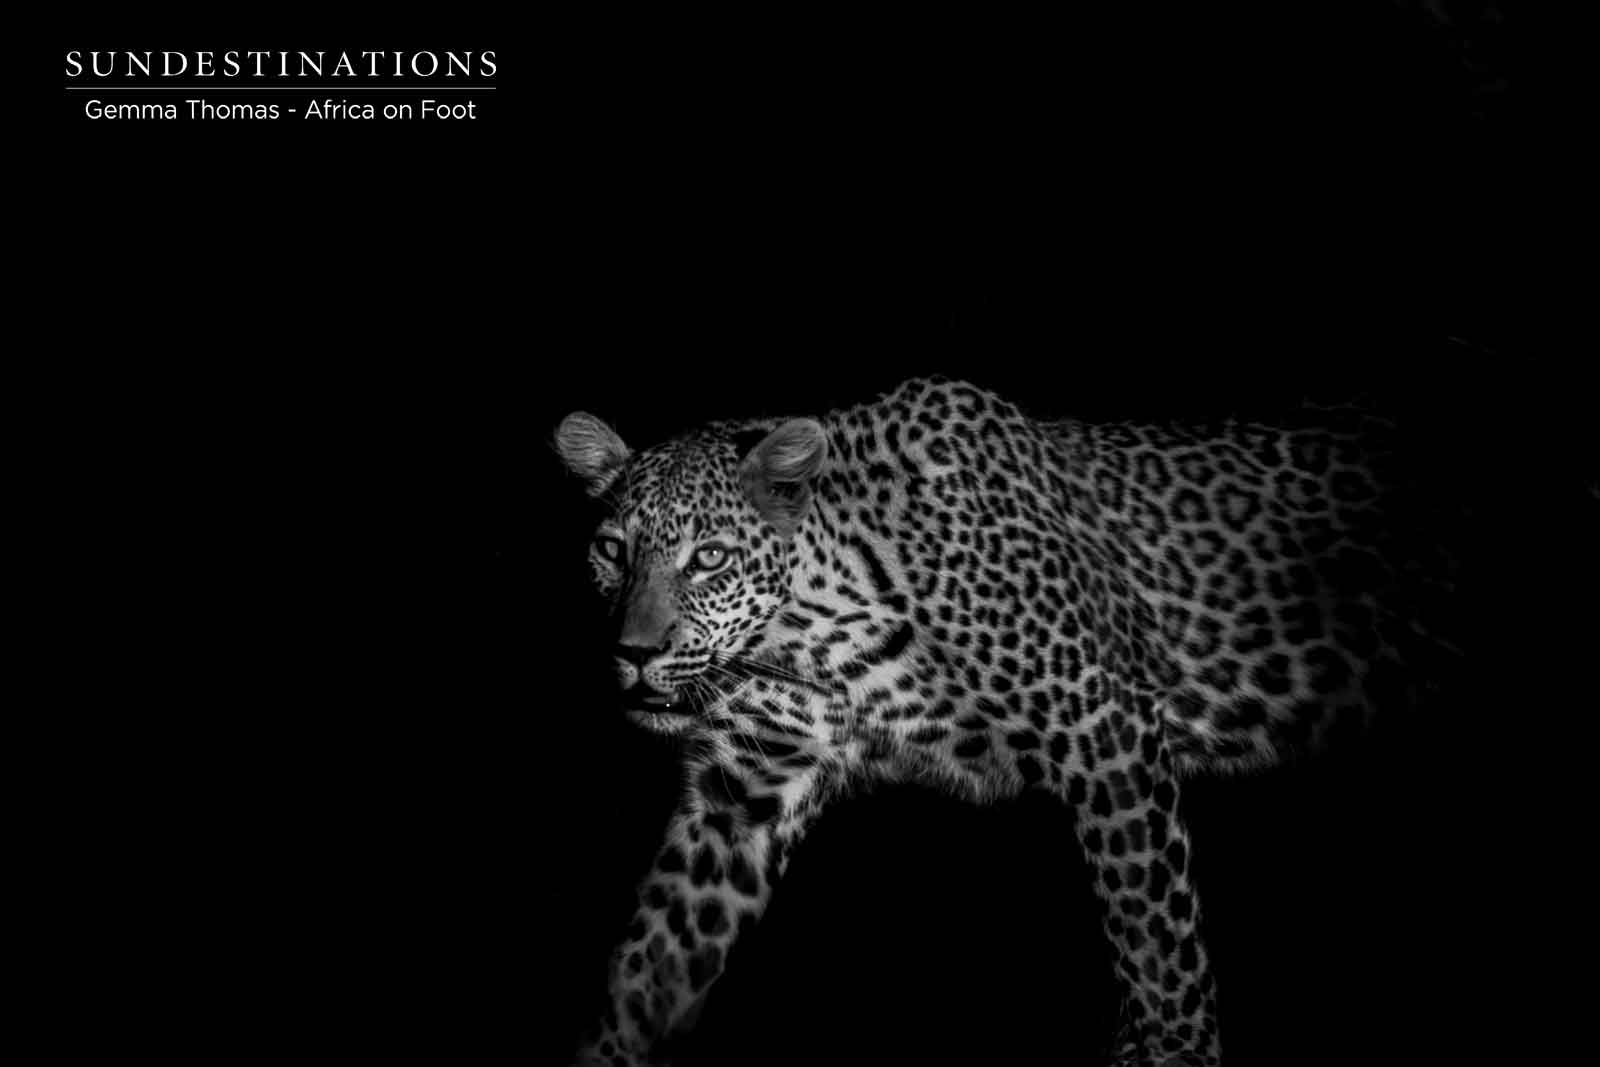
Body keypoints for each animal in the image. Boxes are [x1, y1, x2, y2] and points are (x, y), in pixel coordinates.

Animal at [555, 376, 1458, 1067]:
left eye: (708, 557)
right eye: (611, 550)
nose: (635, 652)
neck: (813, 634)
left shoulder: (1106, 729)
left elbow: (1156, 939)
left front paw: (1175, 1050)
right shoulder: (741, 792)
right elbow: (650, 959)